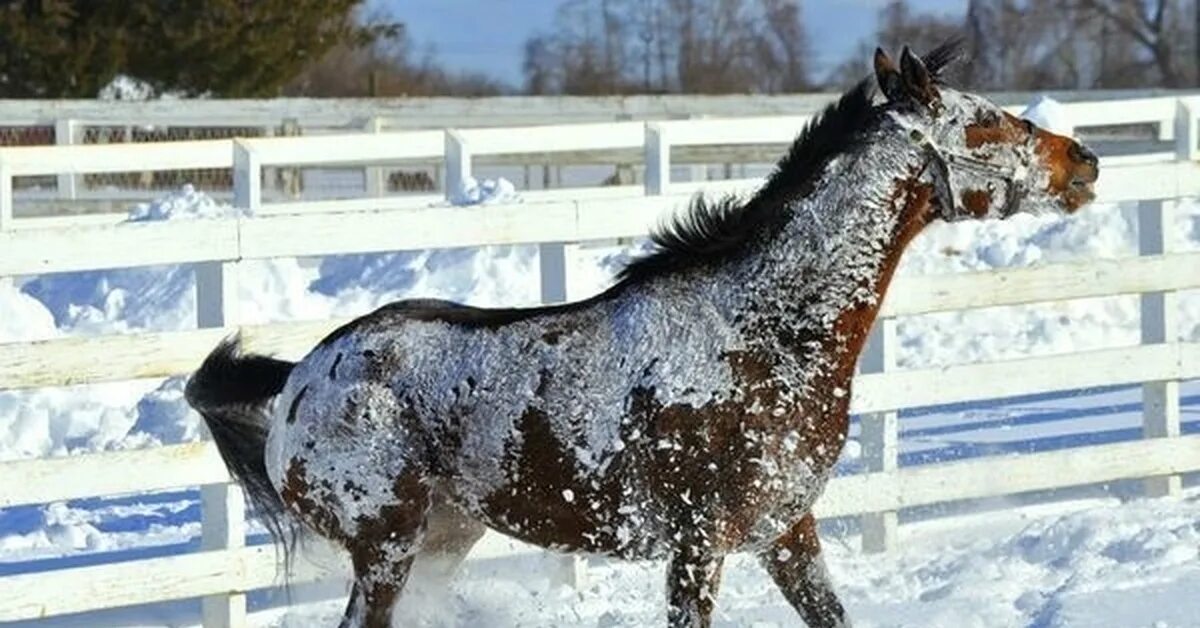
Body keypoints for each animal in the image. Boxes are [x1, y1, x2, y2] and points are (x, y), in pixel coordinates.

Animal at [184, 45, 1099, 628]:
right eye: (986, 125)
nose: (1084, 162)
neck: (760, 335)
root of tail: (302, 377)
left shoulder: (786, 531)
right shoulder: (699, 545)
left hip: (441, 540)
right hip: (385, 547)